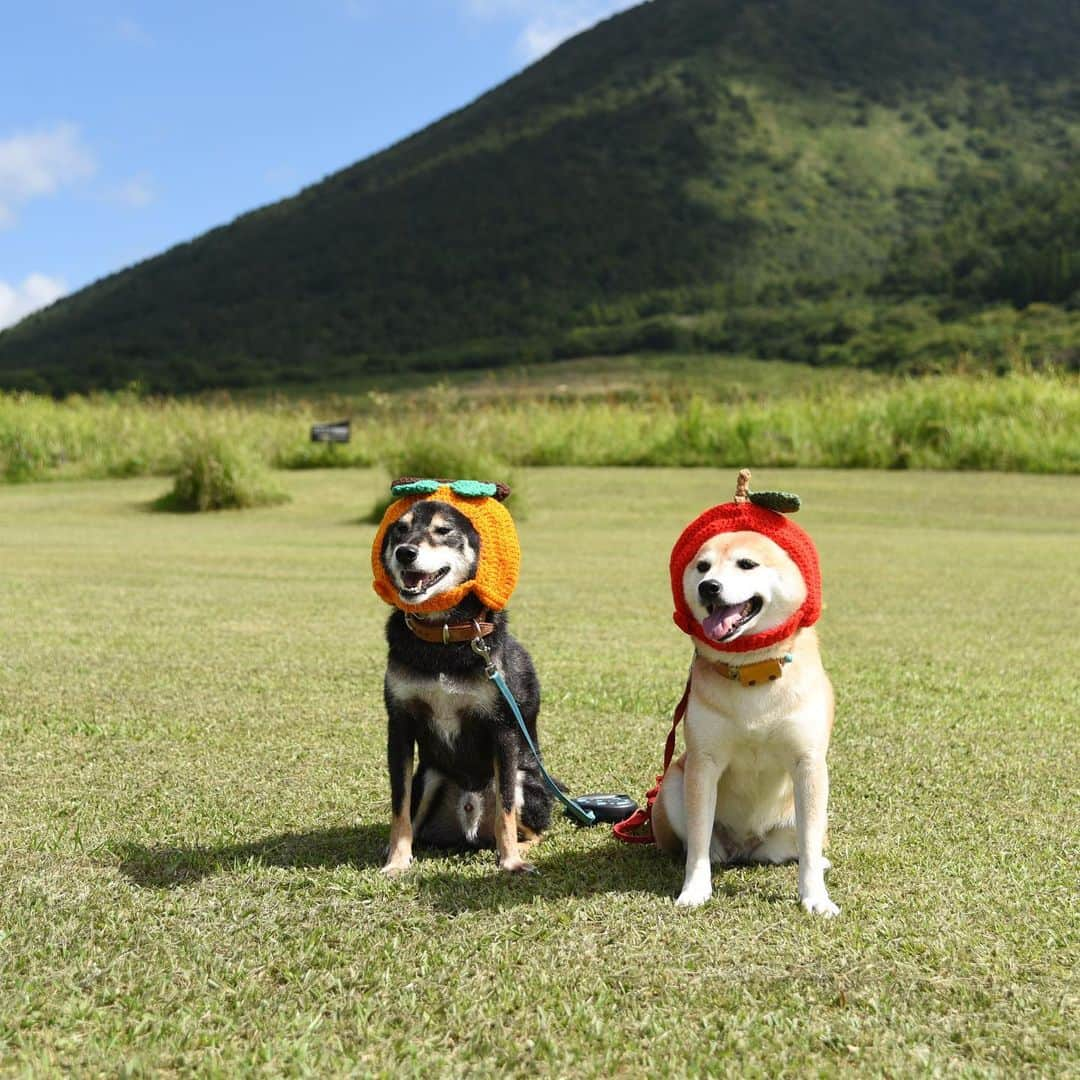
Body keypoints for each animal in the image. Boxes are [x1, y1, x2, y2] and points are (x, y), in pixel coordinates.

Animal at [373, 486, 557, 872]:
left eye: (444, 531)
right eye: (399, 530)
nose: (405, 552)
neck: (444, 634)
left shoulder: (502, 728)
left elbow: (505, 808)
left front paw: (511, 862)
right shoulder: (400, 724)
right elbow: (399, 807)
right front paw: (396, 861)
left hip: (525, 780)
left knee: (533, 829)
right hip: (429, 777)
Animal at [643, 527, 838, 915]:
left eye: (747, 563)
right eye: (702, 566)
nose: (709, 587)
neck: (753, 671)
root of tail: (746, 847)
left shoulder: (808, 762)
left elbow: (809, 845)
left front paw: (815, 898)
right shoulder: (703, 763)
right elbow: (698, 840)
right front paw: (695, 890)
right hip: (672, 785)